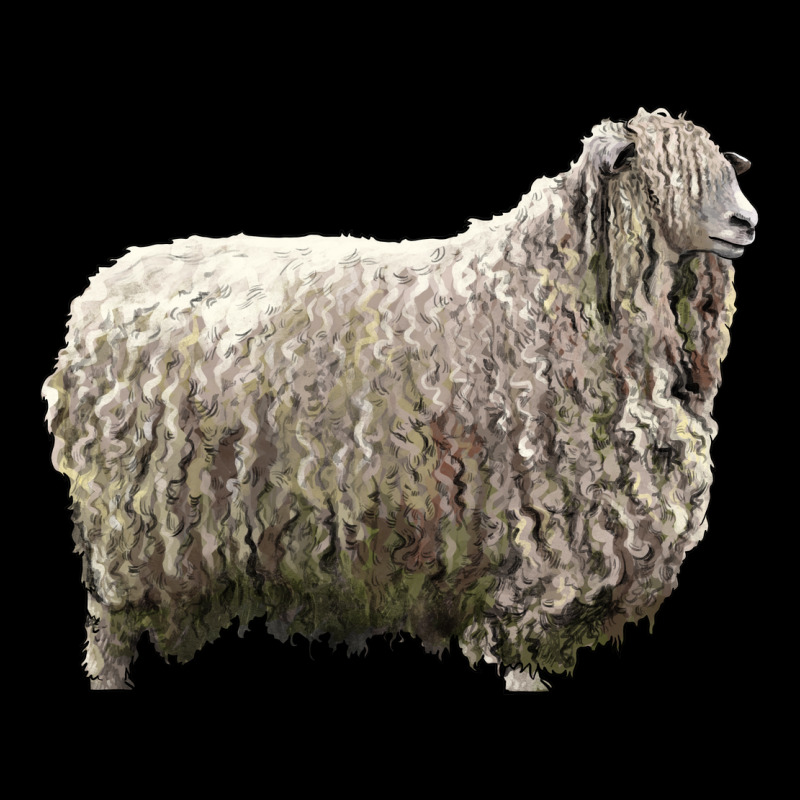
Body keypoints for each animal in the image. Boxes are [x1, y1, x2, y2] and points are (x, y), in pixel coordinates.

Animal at [43, 108, 757, 691]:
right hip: (125, 520)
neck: (549, 290)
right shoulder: (536, 534)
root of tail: (102, 287)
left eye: (723, 169)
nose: (746, 221)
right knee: (108, 625)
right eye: (662, 174)